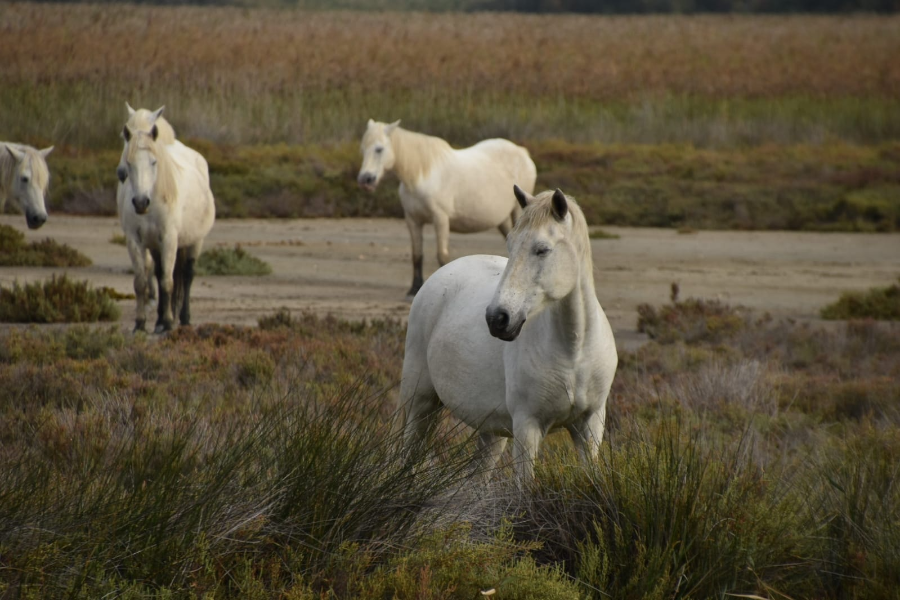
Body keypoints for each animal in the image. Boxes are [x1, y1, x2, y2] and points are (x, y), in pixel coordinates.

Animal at [118, 106, 216, 332]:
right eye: (130, 162)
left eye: (154, 162)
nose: (140, 202)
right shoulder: (135, 241)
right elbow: (141, 283)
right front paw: (141, 323)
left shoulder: (170, 239)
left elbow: (168, 282)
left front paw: (170, 323)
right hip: (156, 245)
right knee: (159, 272)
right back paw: (159, 320)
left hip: (195, 241)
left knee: (187, 274)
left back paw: (184, 318)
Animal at [356, 118, 536, 296]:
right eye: (363, 149)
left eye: (379, 149)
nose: (365, 180)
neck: (422, 176)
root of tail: (523, 153)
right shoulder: (413, 220)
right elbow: (417, 254)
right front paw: (414, 288)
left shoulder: (440, 219)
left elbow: (442, 255)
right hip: (502, 220)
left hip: (517, 212)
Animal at [400, 185, 620, 486]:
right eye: (510, 244)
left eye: (542, 249)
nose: (497, 319)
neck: (574, 351)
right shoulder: (527, 427)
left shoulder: (589, 426)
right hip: (418, 402)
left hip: (490, 432)